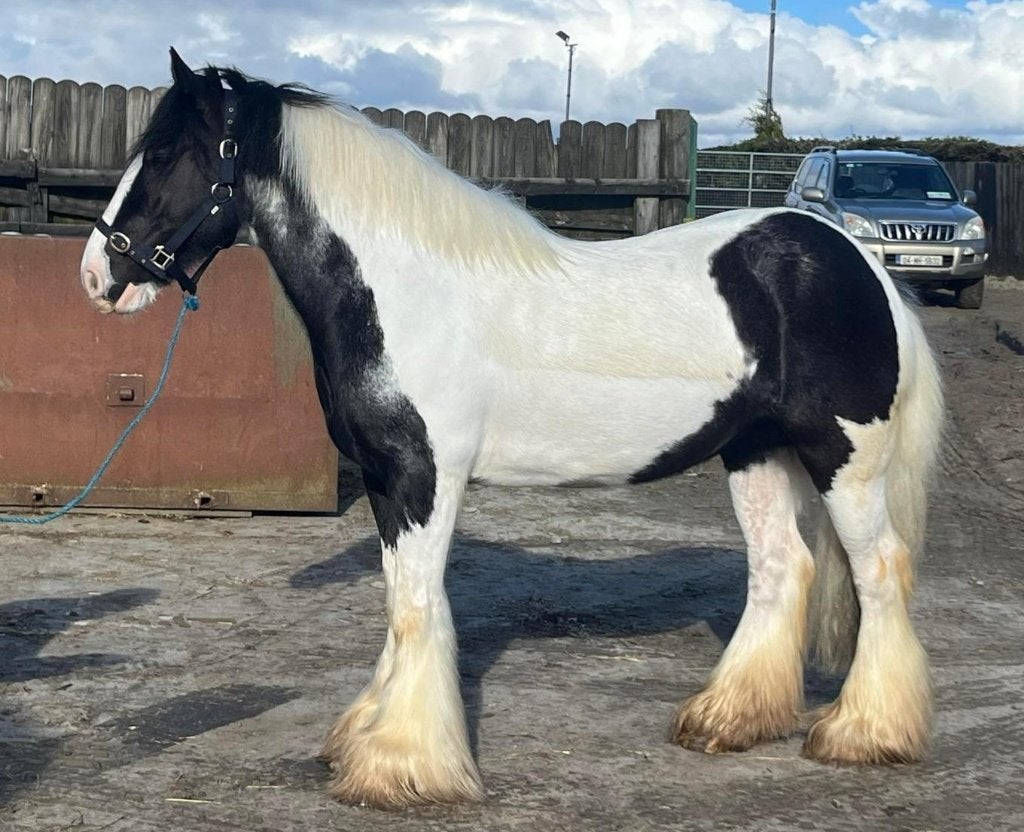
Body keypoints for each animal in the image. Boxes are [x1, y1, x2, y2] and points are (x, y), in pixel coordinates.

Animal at [80, 49, 943, 809]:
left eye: (167, 154)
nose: (97, 276)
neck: (405, 291)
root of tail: (858, 264)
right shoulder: (387, 484)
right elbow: (398, 602)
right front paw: (367, 736)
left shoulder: (425, 477)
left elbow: (418, 607)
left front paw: (402, 768)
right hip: (755, 452)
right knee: (781, 568)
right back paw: (727, 720)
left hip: (844, 458)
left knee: (880, 572)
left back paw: (865, 734)